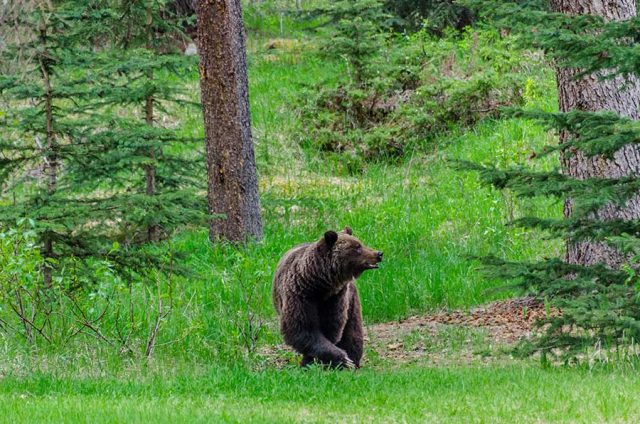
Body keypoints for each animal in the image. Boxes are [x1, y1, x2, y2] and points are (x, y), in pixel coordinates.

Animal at [272, 227, 383, 369]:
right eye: (357, 247)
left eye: (360, 243)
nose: (379, 254)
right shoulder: (300, 295)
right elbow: (301, 328)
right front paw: (340, 359)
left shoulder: (336, 298)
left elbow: (331, 328)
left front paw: (339, 361)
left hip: (352, 300)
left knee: (353, 330)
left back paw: (354, 360)